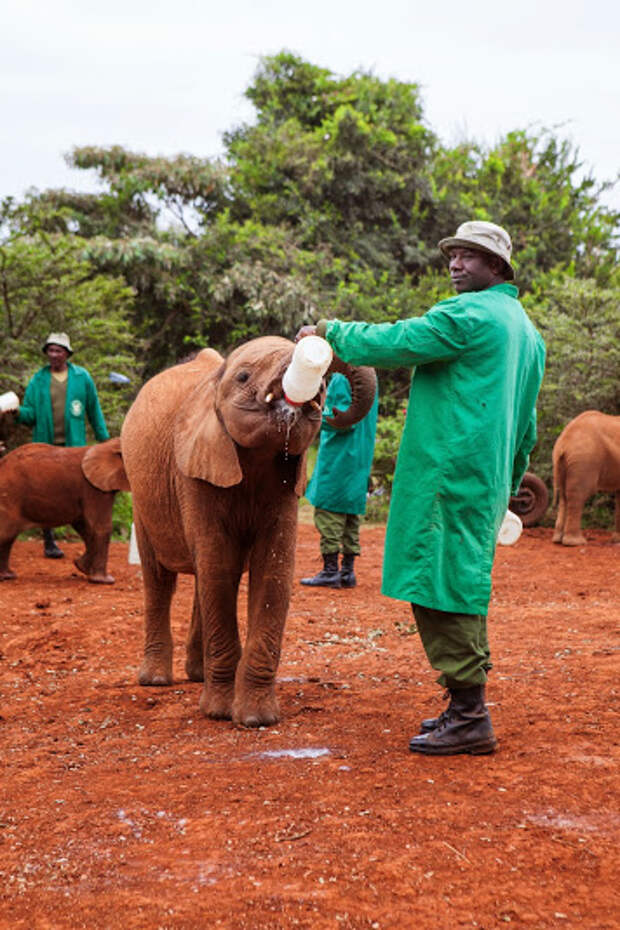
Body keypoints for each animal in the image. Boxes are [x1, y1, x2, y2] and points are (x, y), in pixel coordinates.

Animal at [0, 440, 129, 584]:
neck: (108, 445)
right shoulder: (93, 489)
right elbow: (101, 527)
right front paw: (105, 581)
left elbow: (84, 527)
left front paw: (81, 567)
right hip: (9, 494)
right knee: (5, 534)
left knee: (8, 537)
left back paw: (8, 576)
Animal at [120, 334, 372, 724]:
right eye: (243, 377)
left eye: (324, 384)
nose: (311, 344)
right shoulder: (194, 469)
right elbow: (219, 566)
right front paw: (219, 713)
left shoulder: (285, 483)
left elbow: (272, 570)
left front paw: (256, 718)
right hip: (142, 497)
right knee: (161, 578)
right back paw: (156, 680)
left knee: (201, 576)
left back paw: (197, 674)